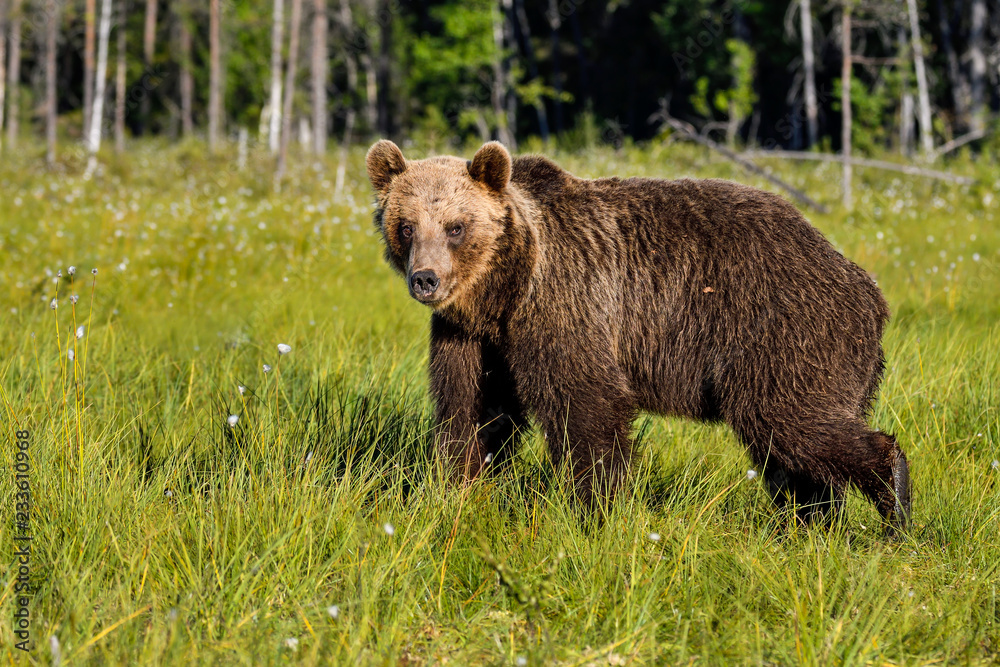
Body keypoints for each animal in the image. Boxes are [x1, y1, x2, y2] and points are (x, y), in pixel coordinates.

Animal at [370, 141, 916, 532]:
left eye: (455, 226)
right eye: (406, 226)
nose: (425, 279)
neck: (503, 293)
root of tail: (868, 290)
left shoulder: (566, 305)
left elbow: (586, 405)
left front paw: (597, 508)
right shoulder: (474, 339)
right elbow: (471, 410)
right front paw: (456, 491)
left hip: (783, 332)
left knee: (792, 421)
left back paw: (893, 498)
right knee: (789, 450)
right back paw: (811, 520)